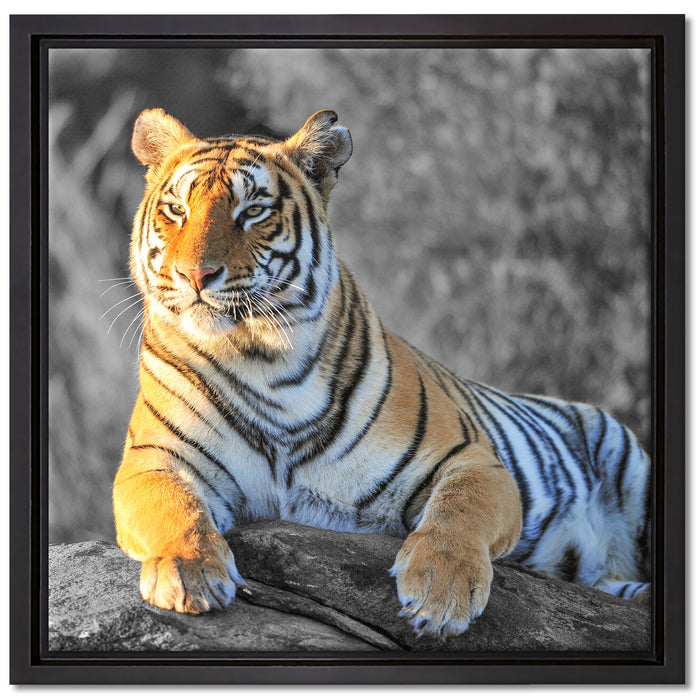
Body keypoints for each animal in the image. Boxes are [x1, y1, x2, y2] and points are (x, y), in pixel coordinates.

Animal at [113, 107, 651, 638]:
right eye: (177, 210)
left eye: (253, 212)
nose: (195, 275)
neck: (261, 358)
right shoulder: (152, 459)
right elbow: (174, 508)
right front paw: (189, 572)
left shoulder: (472, 459)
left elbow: (459, 511)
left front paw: (441, 591)